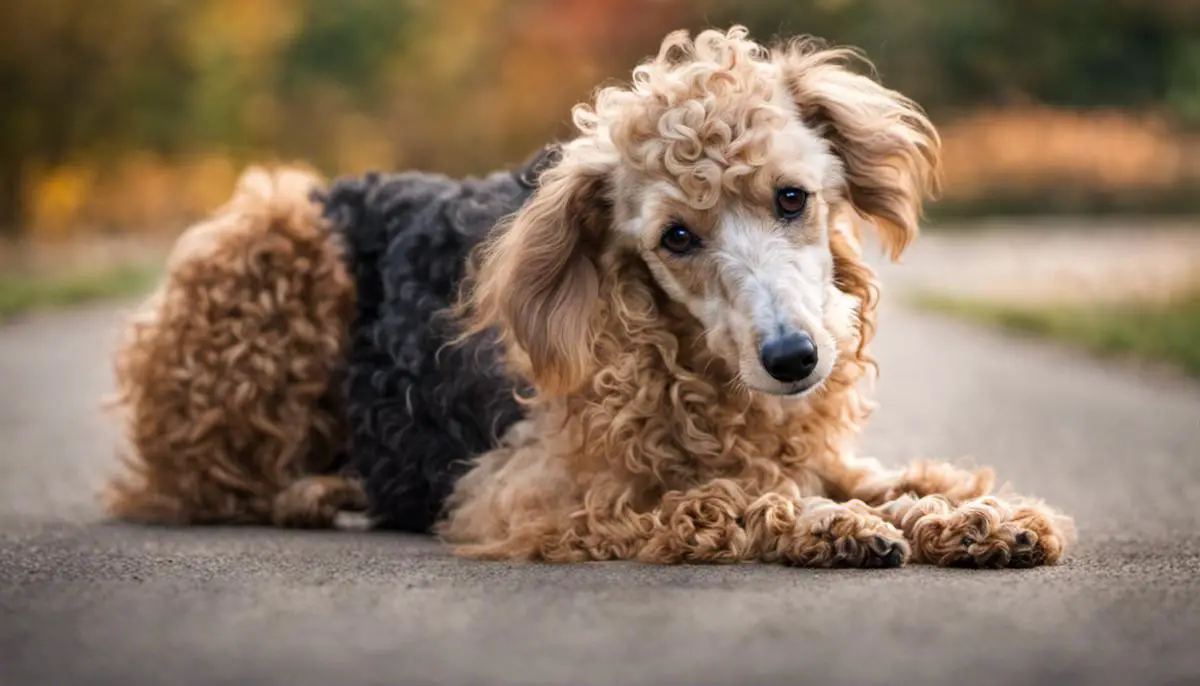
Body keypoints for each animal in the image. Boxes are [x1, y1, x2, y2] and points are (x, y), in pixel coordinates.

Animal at [434, 25, 1080, 568]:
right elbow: (722, 498)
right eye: (676, 237)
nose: (792, 359)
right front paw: (829, 524)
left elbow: (888, 483)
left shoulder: (816, 456)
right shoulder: (531, 496)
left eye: (792, 197)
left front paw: (970, 518)